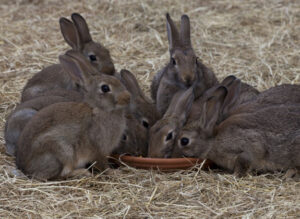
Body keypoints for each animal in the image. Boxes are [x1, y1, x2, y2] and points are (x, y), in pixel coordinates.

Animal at [15, 50, 130, 181]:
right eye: (105, 88)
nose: (128, 97)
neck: (98, 109)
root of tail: (24, 168)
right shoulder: (98, 149)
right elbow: (103, 165)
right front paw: (114, 173)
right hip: (63, 152)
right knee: (59, 175)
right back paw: (82, 173)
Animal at [172, 84, 300, 177]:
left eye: (184, 141)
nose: (172, 154)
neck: (212, 142)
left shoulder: (246, 149)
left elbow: (243, 161)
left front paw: (233, 175)